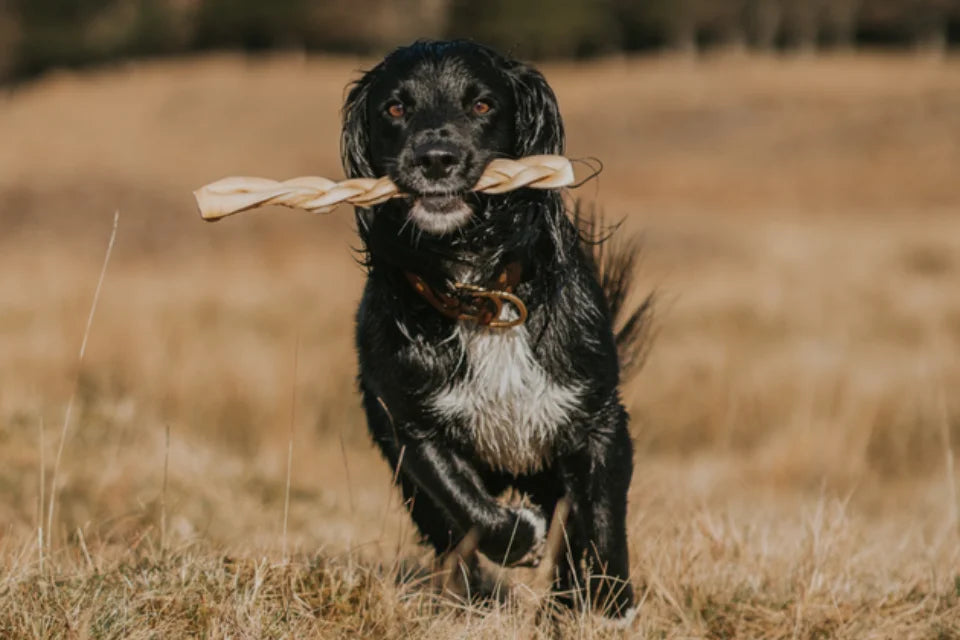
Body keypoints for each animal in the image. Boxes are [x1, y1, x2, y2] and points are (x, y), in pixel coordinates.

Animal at [342, 38, 648, 620]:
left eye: (482, 104)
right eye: (394, 108)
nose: (435, 158)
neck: (481, 294)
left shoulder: (597, 419)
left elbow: (601, 523)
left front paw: (610, 606)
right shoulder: (412, 426)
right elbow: (467, 507)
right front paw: (520, 541)